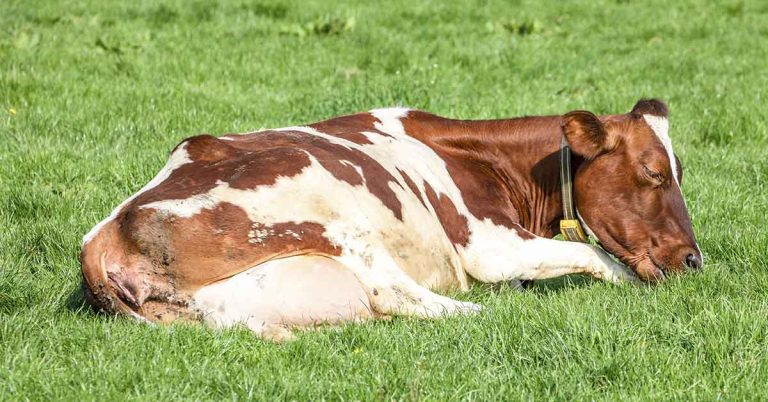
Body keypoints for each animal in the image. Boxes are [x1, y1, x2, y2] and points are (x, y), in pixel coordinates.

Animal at [80, 99, 702, 341]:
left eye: (678, 171)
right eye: (653, 172)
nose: (694, 260)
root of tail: (104, 237)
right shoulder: (491, 244)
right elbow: (591, 253)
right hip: (331, 214)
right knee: (398, 295)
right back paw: (480, 313)